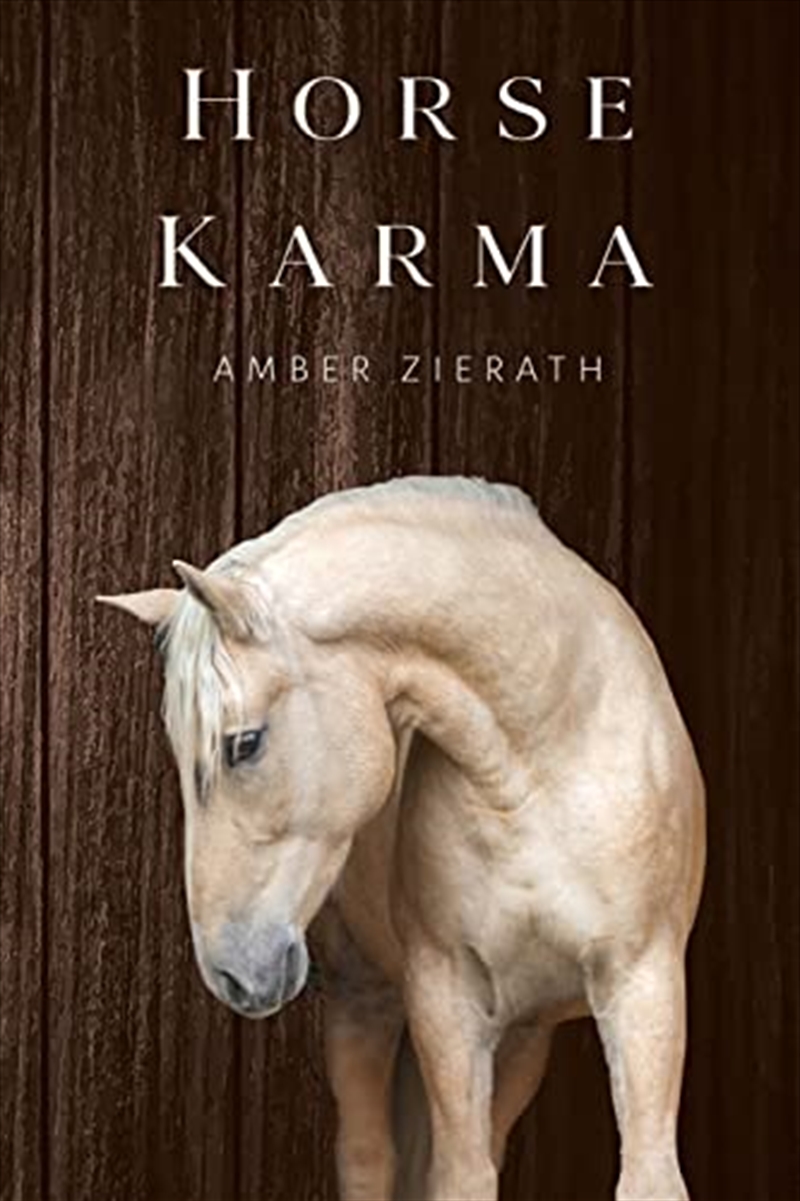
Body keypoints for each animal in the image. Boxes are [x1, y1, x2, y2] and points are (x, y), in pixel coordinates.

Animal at [98, 476, 705, 1201]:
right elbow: (458, 1176)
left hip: (521, 1038)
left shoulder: (642, 984)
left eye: (244, 743)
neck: (548, 750)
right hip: (366, 1000)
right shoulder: (446, 996)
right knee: (369, 1157)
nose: (231, 973)